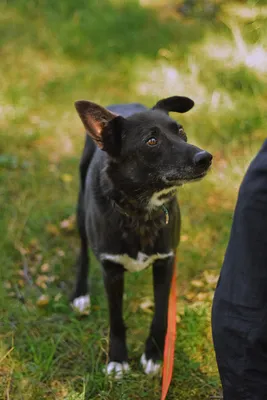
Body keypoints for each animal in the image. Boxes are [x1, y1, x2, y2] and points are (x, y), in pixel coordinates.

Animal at [72, 96, 213, 378]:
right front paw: (117, 359)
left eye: (180, 130)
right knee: (83, 252)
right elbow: (116, 319)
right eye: (152, 141)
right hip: (81, 210)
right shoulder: (111, 271)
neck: (140, 212)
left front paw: (154, 356)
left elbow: (161, 315)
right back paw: (80, 293)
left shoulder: (166, 263)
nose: (206, 158)